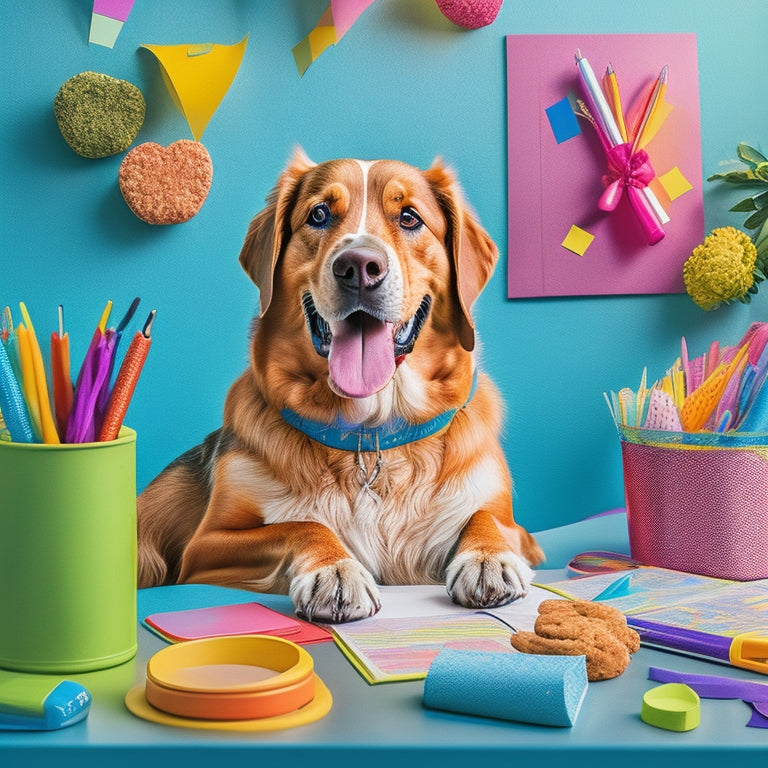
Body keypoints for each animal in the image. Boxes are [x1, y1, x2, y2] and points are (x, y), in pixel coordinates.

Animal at [138, 152, 544, 624]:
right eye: (319, 214)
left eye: (409, 217)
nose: (359, 268)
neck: (371, 434)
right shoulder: (205, 544)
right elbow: (302, 524)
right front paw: (334, 570)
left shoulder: (518, 528)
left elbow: (484, 518)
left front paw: (487, 558)